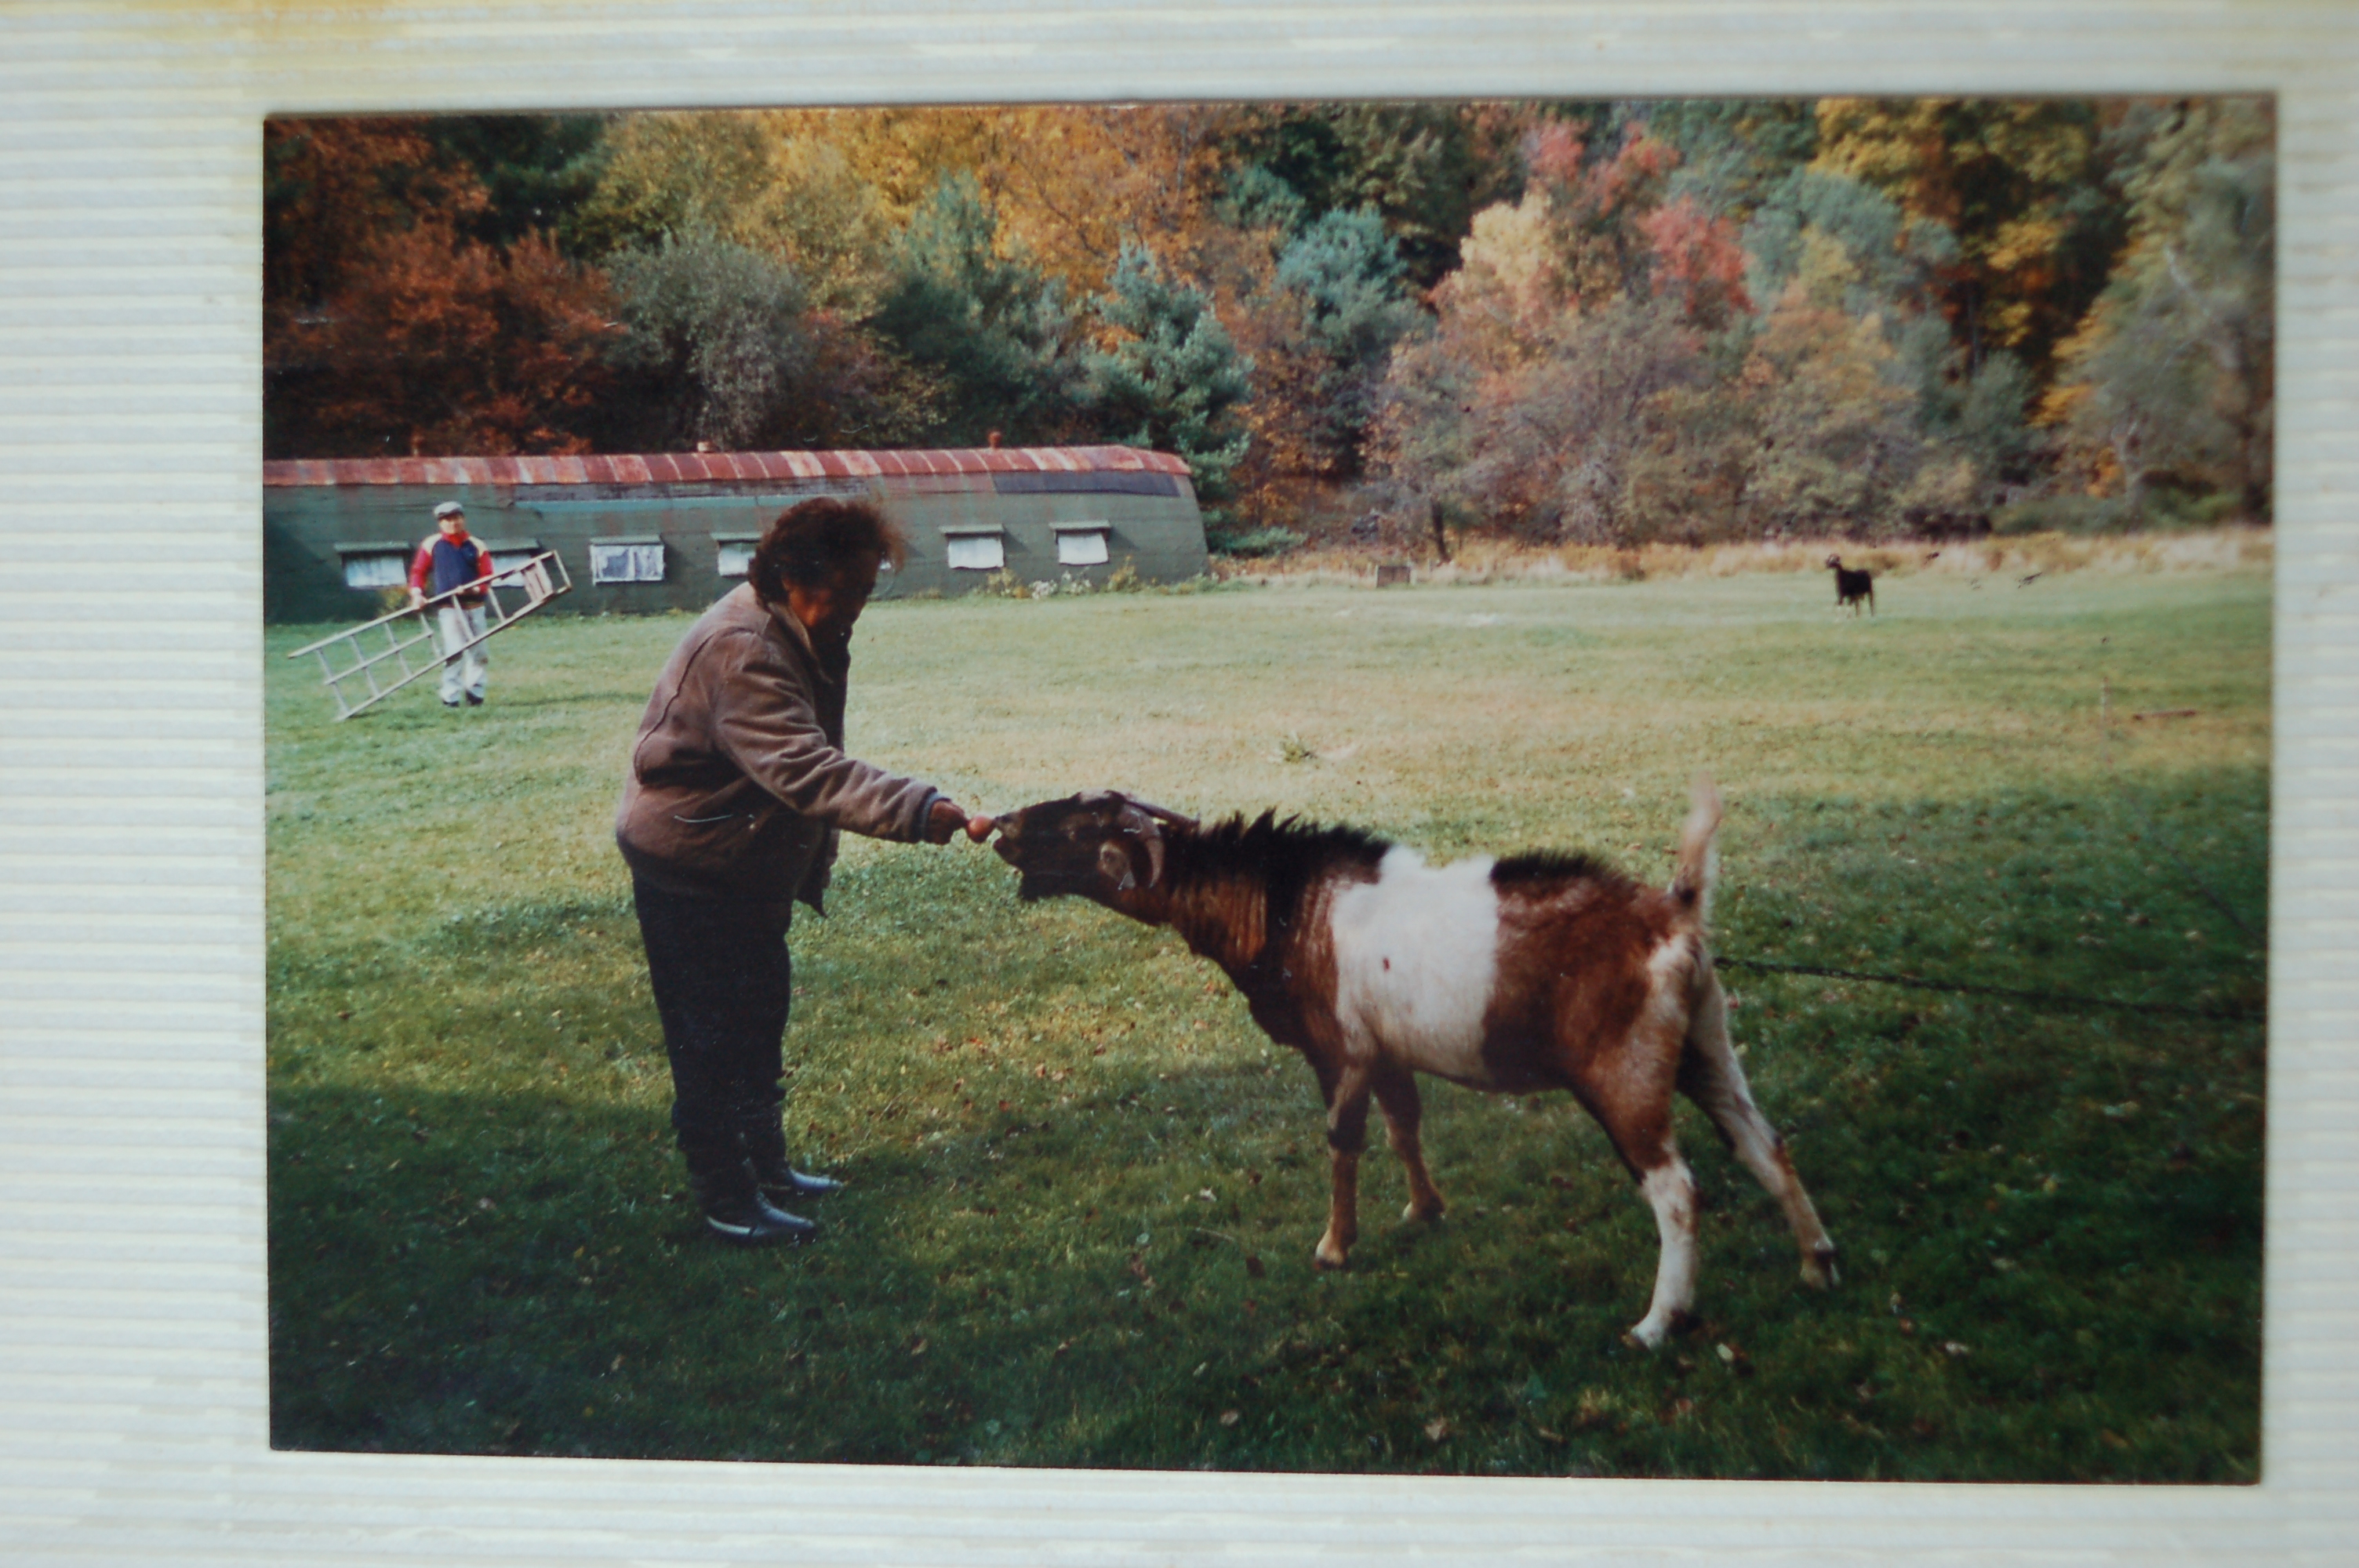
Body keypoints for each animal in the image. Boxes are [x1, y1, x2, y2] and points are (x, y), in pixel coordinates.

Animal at [986, 782, 1830, 1348]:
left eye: (1075, 823)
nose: (999, 827)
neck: (1280, 902)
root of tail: (1674, 914)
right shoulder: (1387, 1053)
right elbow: (1403, 1126)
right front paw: (1424, 1210)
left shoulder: (1341, 1051)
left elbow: (1344, 1141)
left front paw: (1334, 1247)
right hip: (1705, 1047)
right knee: (1764, 1143)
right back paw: (1816, 1265)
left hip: (1623, 1074)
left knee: (1675, 1189)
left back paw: (1656, 1323)